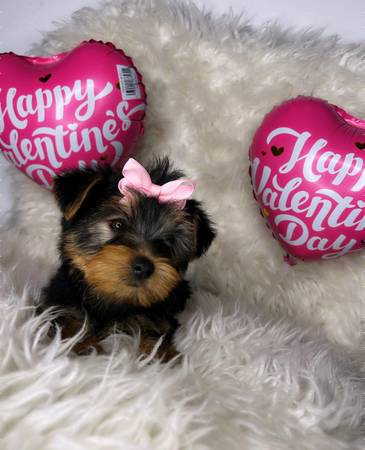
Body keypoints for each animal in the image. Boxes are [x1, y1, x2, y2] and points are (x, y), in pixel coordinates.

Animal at [41, 158, 215, 362]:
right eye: (117, 225)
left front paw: (162, 357)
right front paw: (84, 345)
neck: (113, 299)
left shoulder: (156, 318)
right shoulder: (61, 302)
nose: (145, 267)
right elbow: (71, 325)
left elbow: (155, 335)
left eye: (167, 243)